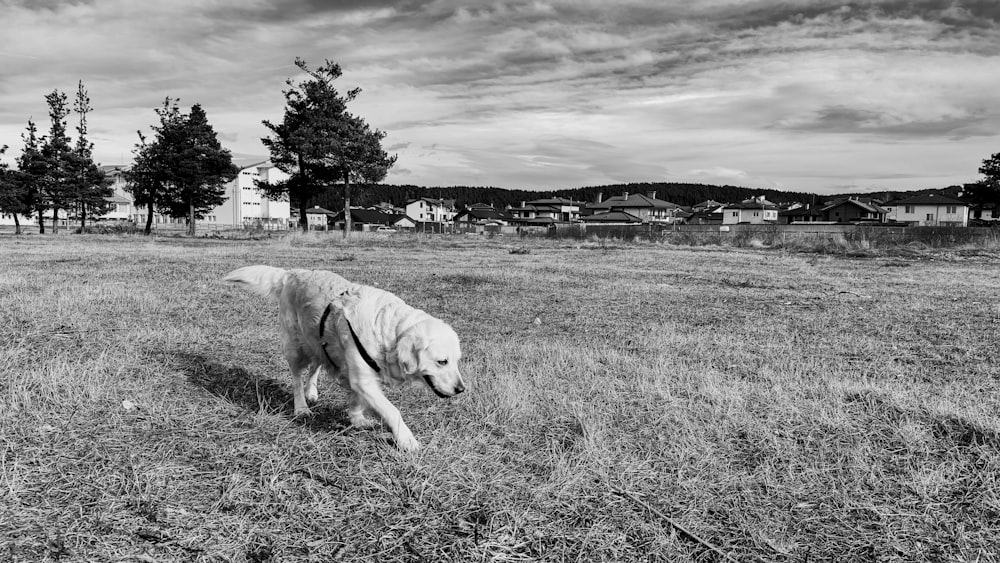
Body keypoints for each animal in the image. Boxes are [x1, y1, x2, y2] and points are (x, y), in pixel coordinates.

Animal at [223, 266, 464, 452]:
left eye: (457, 360)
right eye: (442, 361)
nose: (461, 389)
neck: (387, 331)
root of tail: (292, 273)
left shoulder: (358, 375)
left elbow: (357, 399)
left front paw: (357, 419)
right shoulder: (363, 378)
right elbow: (391, 410)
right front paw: (407, 440)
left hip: (319, 343)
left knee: (315, 367)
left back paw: (312, 392)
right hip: (295, 346)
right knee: (296, 377)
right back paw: (301, 406)